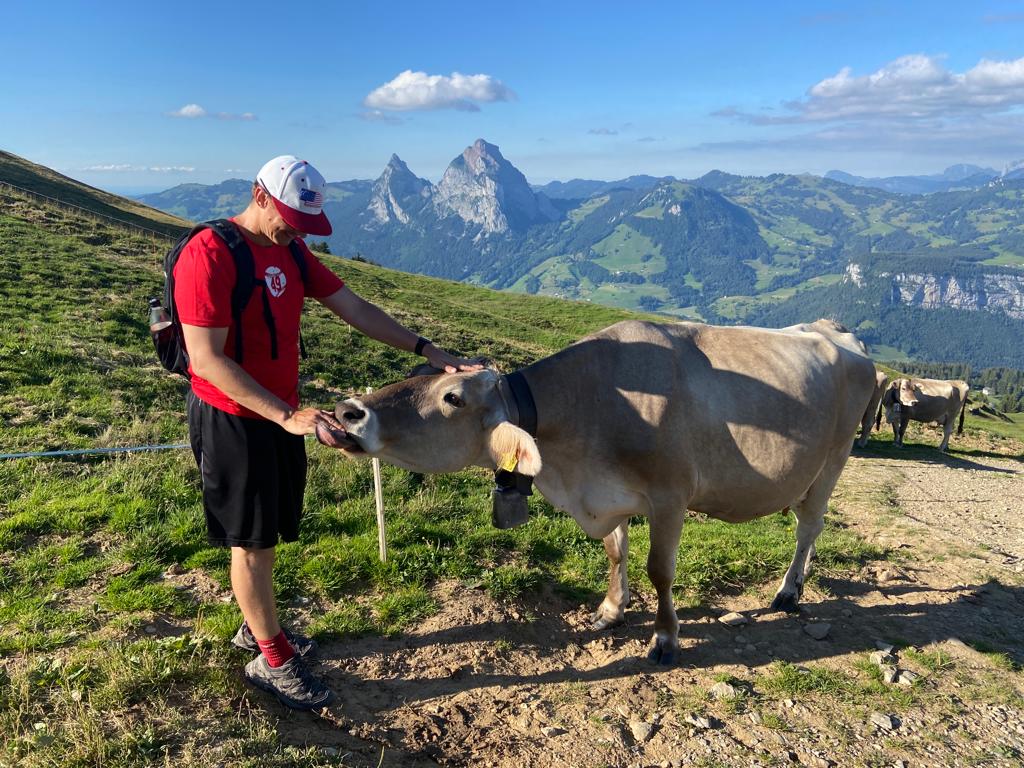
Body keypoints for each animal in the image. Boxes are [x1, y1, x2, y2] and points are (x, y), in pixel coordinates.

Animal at [321, 320, 877, 664]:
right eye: (418, 371)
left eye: (452, 398)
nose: (349, 411)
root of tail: (835, 330)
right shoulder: (610, 497)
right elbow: (615, 553)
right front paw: (611, 611)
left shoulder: (670, 496)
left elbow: (659, 570)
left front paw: (665, 638)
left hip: (833, 459)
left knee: (809, 525)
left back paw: (789, 591)